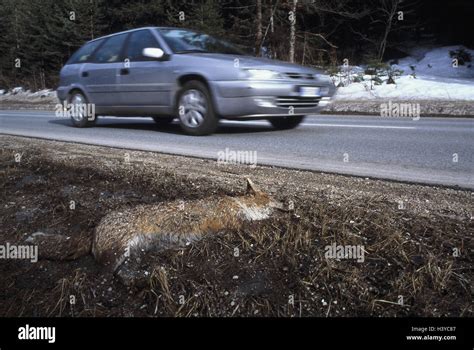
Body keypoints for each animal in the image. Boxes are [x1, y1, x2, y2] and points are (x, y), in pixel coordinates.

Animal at [93, 179, 286, 272]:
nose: (286, 202)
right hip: (116, 253)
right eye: (272, 197)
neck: (239, 204)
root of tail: (97, 227)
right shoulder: (236, 222)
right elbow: (263, 221)